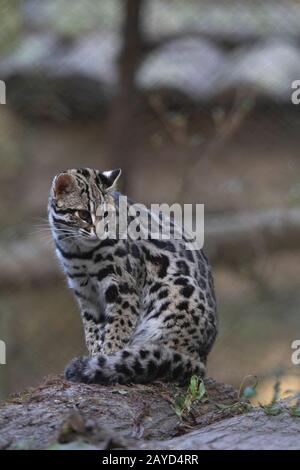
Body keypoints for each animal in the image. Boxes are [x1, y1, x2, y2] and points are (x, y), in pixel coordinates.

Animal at [48, 169, 218, 386]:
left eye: (105, 215)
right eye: (83, 214)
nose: (100, 233)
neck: (79, 251)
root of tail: (203, 358)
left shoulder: (124, 288)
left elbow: (118, 327)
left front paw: (107, 357)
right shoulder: (84, 291)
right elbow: (92, 329)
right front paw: (96, 355)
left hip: (174, 292)